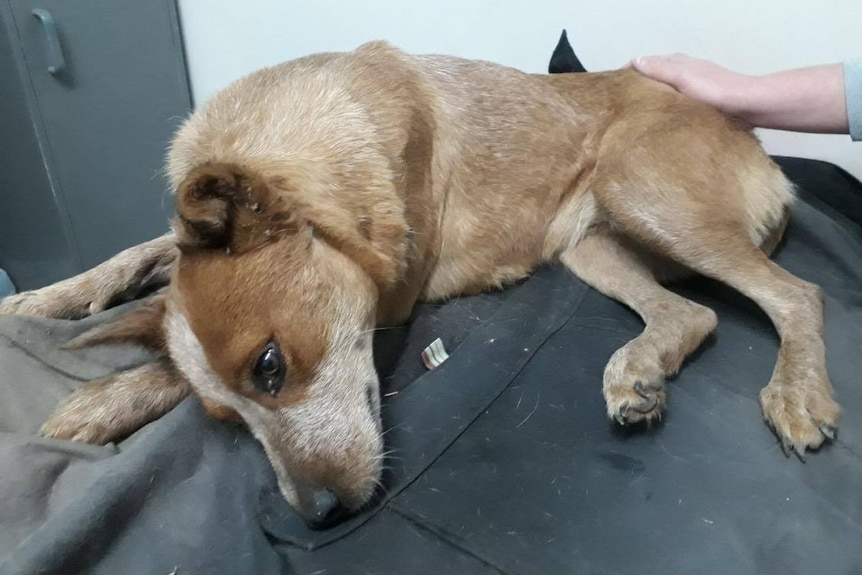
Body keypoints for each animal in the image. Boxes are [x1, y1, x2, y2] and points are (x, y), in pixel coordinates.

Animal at [0, 39, 840, 528]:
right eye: (230, 423)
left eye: (270, 365)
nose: (318, 514)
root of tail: (756, 145)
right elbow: (147, 257)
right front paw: (48, 299)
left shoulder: (392, 293)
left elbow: (165, 317)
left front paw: (107, 395)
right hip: (592, 245)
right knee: (693, 314)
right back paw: (639, 370)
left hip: (643, 186)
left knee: (797, 294)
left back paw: (796, 392)